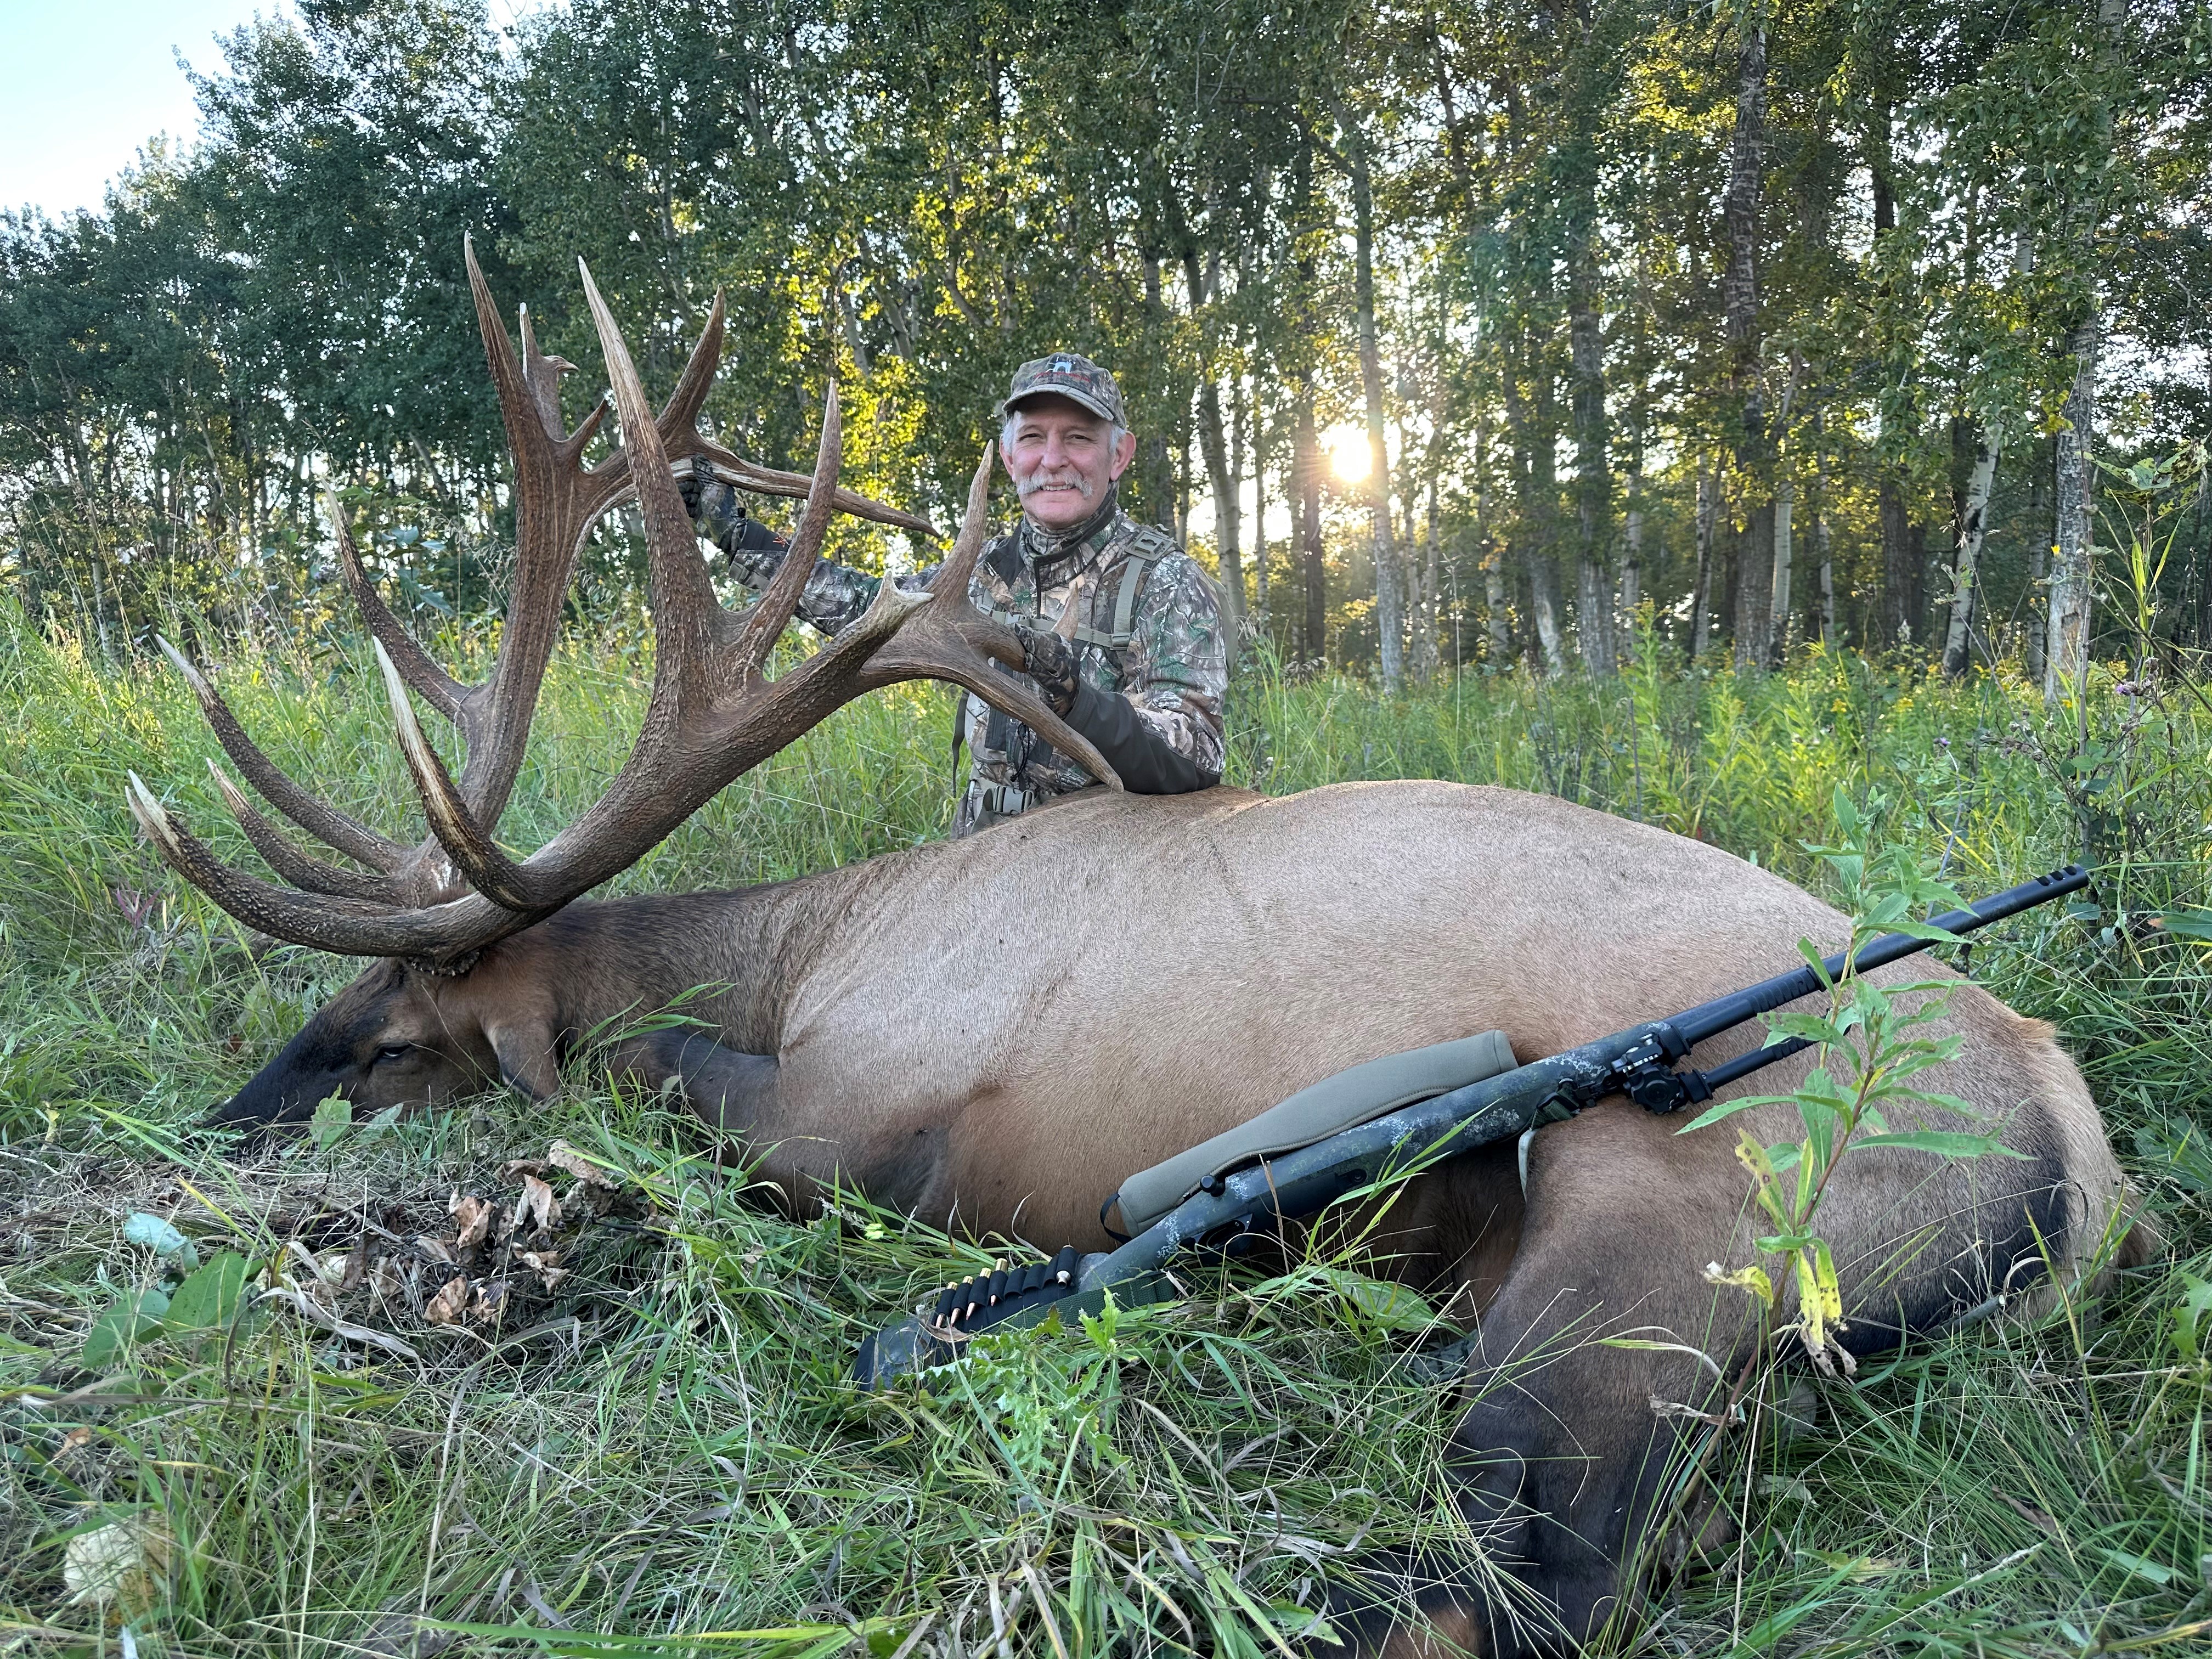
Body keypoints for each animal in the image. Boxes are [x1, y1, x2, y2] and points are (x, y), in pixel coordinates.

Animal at [127, 245, 2139, 1659]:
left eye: (396, 1029)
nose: (219, 1122)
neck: (809, 945)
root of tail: (2077, 1157)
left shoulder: (869, 1111)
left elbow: (668, 1081)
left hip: (1678, 1214)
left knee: (1510, 1571)